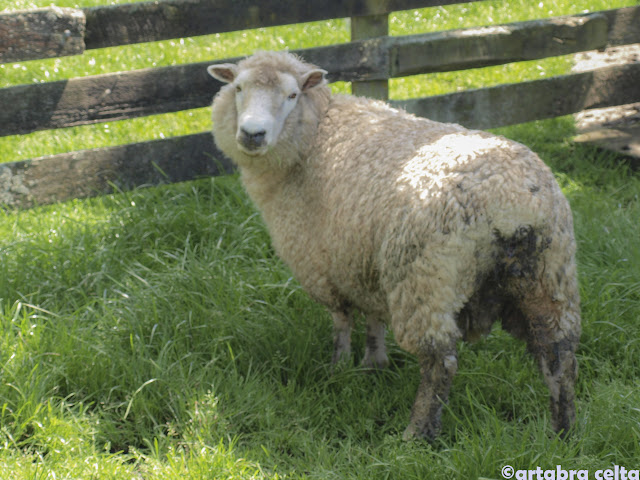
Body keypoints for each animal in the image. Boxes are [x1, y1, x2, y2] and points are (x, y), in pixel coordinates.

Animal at [208, 50, 584, 440]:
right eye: (238, 88)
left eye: (292, 95)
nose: (252, 134)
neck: (316, 133)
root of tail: (512, 199)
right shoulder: (364, 260)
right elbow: (374, 317)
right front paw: (373, 364)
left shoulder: (327, 263)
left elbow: (342, 322)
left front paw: (338, 367)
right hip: (549, 275)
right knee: (559, 355)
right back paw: (563, 431)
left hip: (424, 280)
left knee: (440, 361)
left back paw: (416, 434)